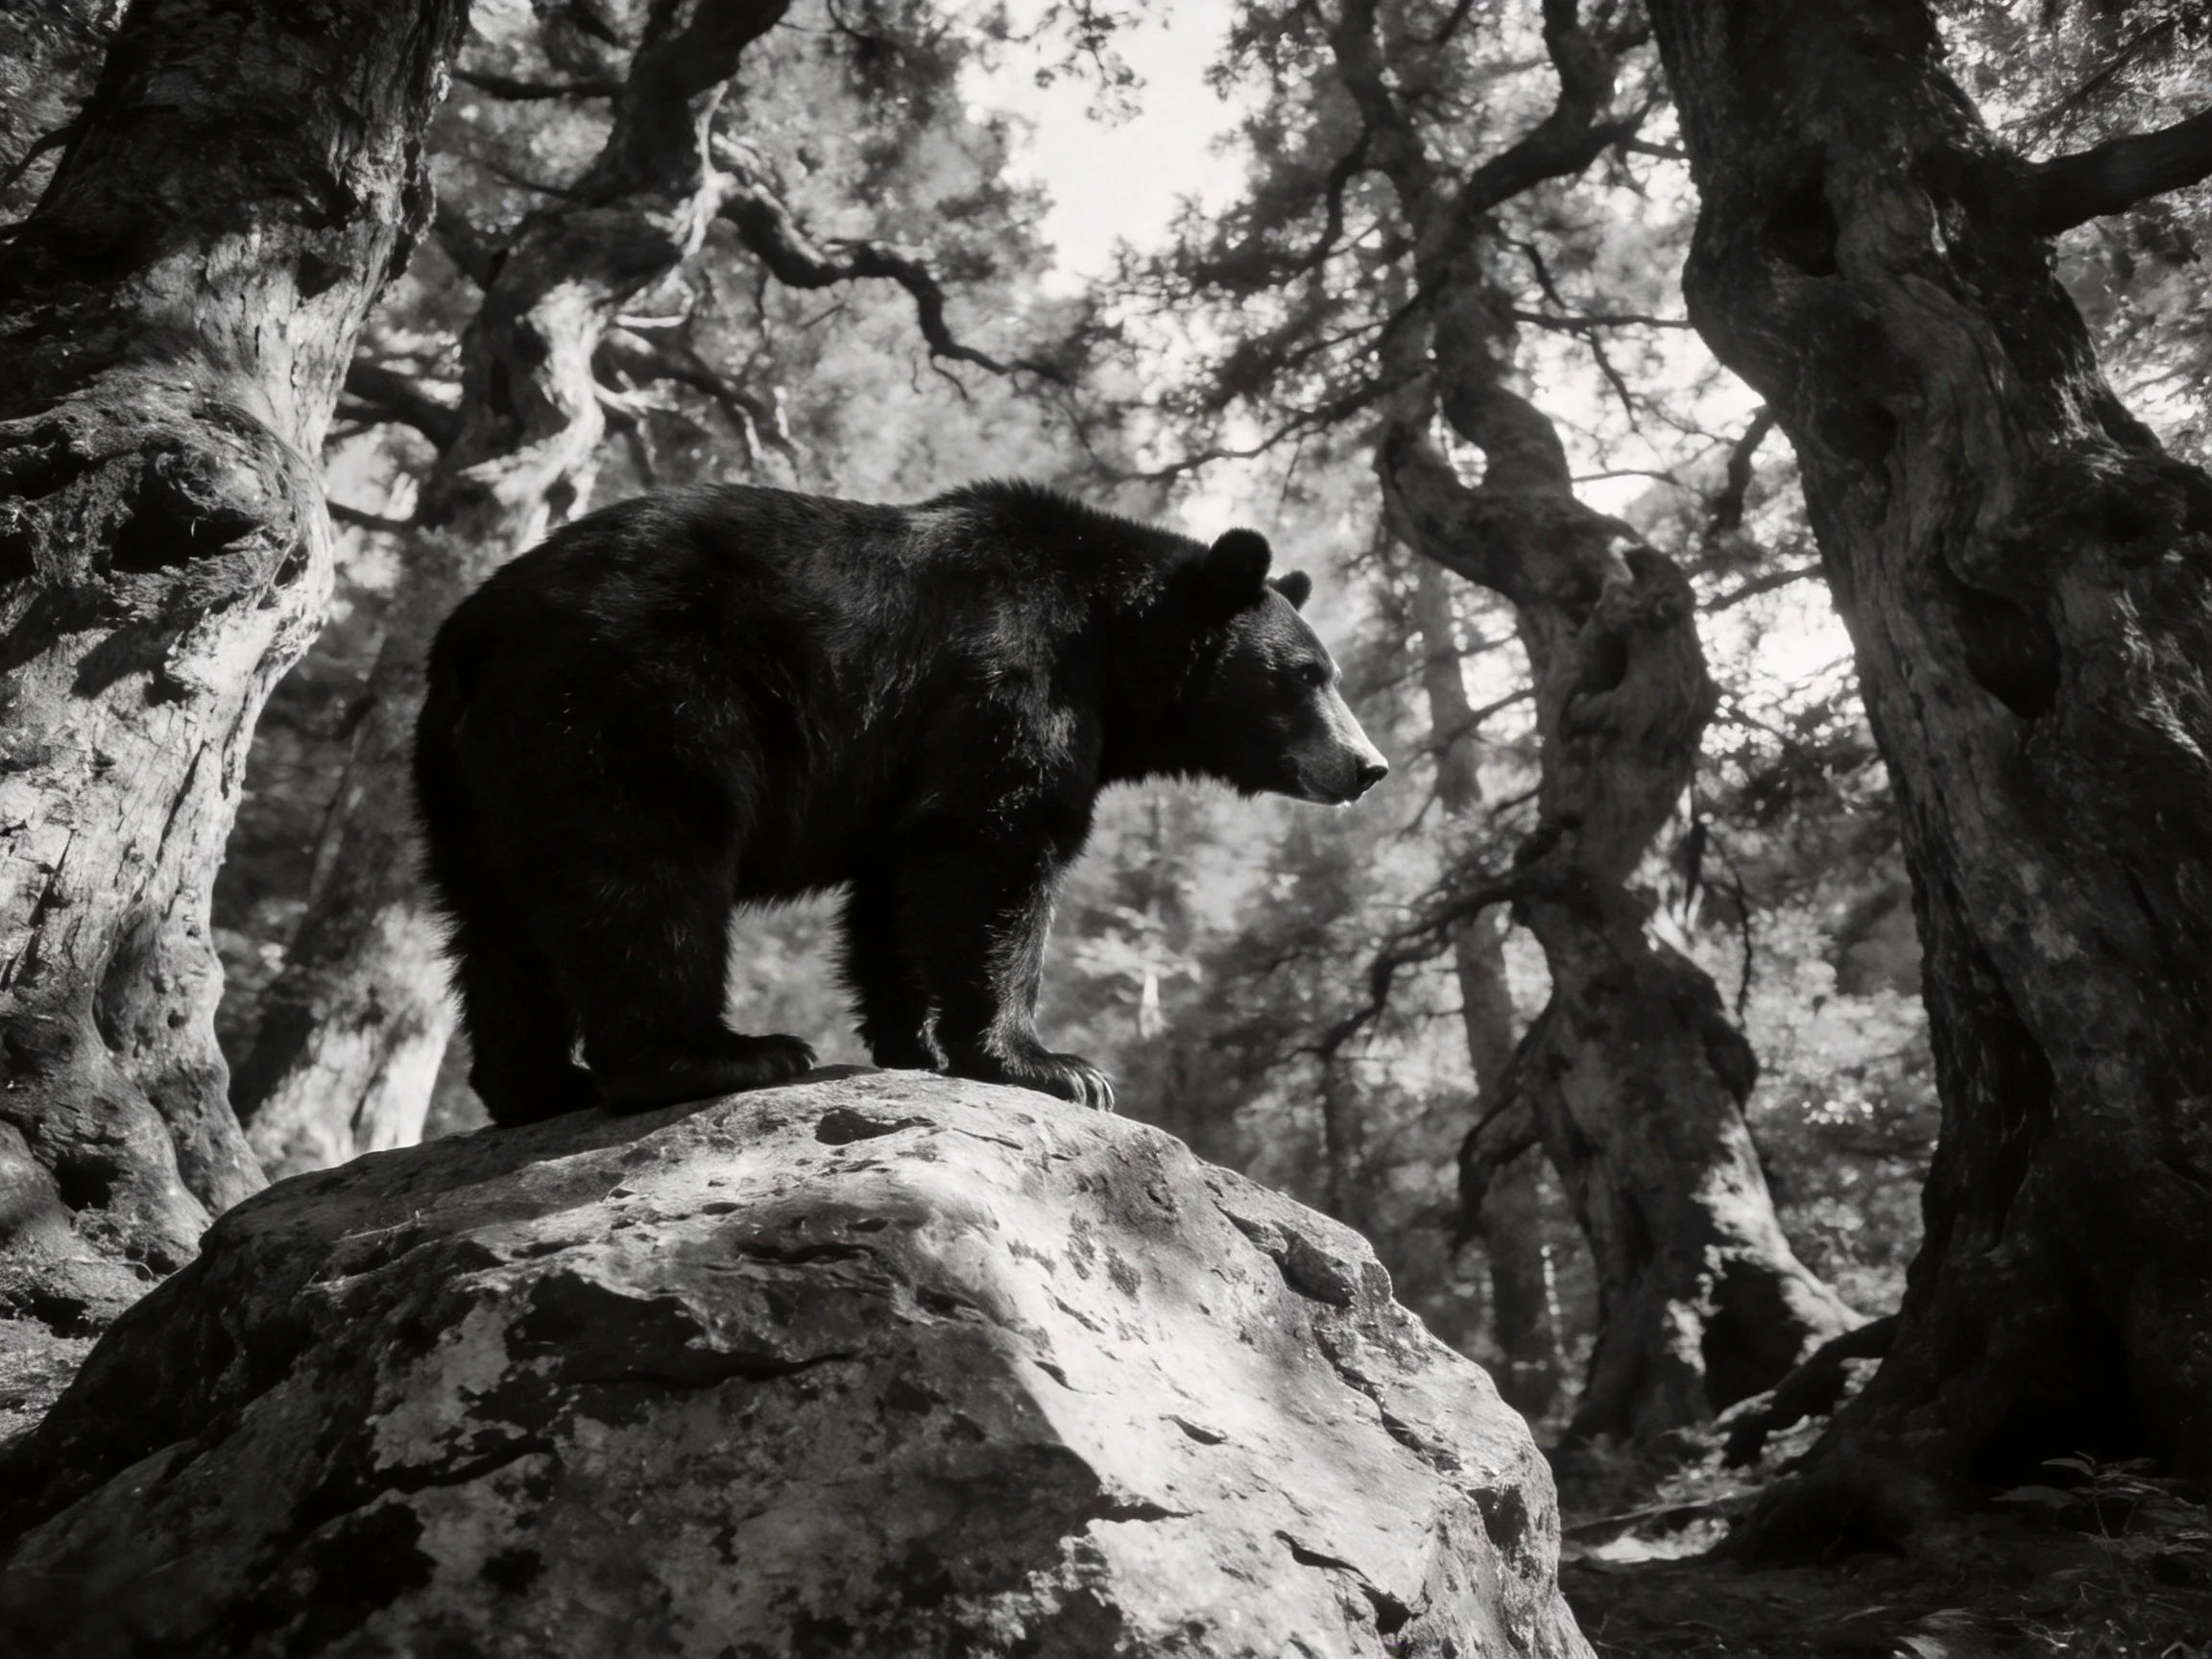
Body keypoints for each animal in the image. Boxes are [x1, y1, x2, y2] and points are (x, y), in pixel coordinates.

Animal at [413, 479, 1389, 1124]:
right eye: (1308, 675)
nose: (1367, 766)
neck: (1115, 649)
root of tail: (471, 633)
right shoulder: (1011, 675)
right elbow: (993, 841)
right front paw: (1053, 1063)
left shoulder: (906, 753)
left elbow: (895, 886)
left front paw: (915, 1043)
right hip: (636, 701)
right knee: (649, 868)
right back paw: (720, 1054)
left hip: (467, 781)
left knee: (494, 926)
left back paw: (540, 1087)